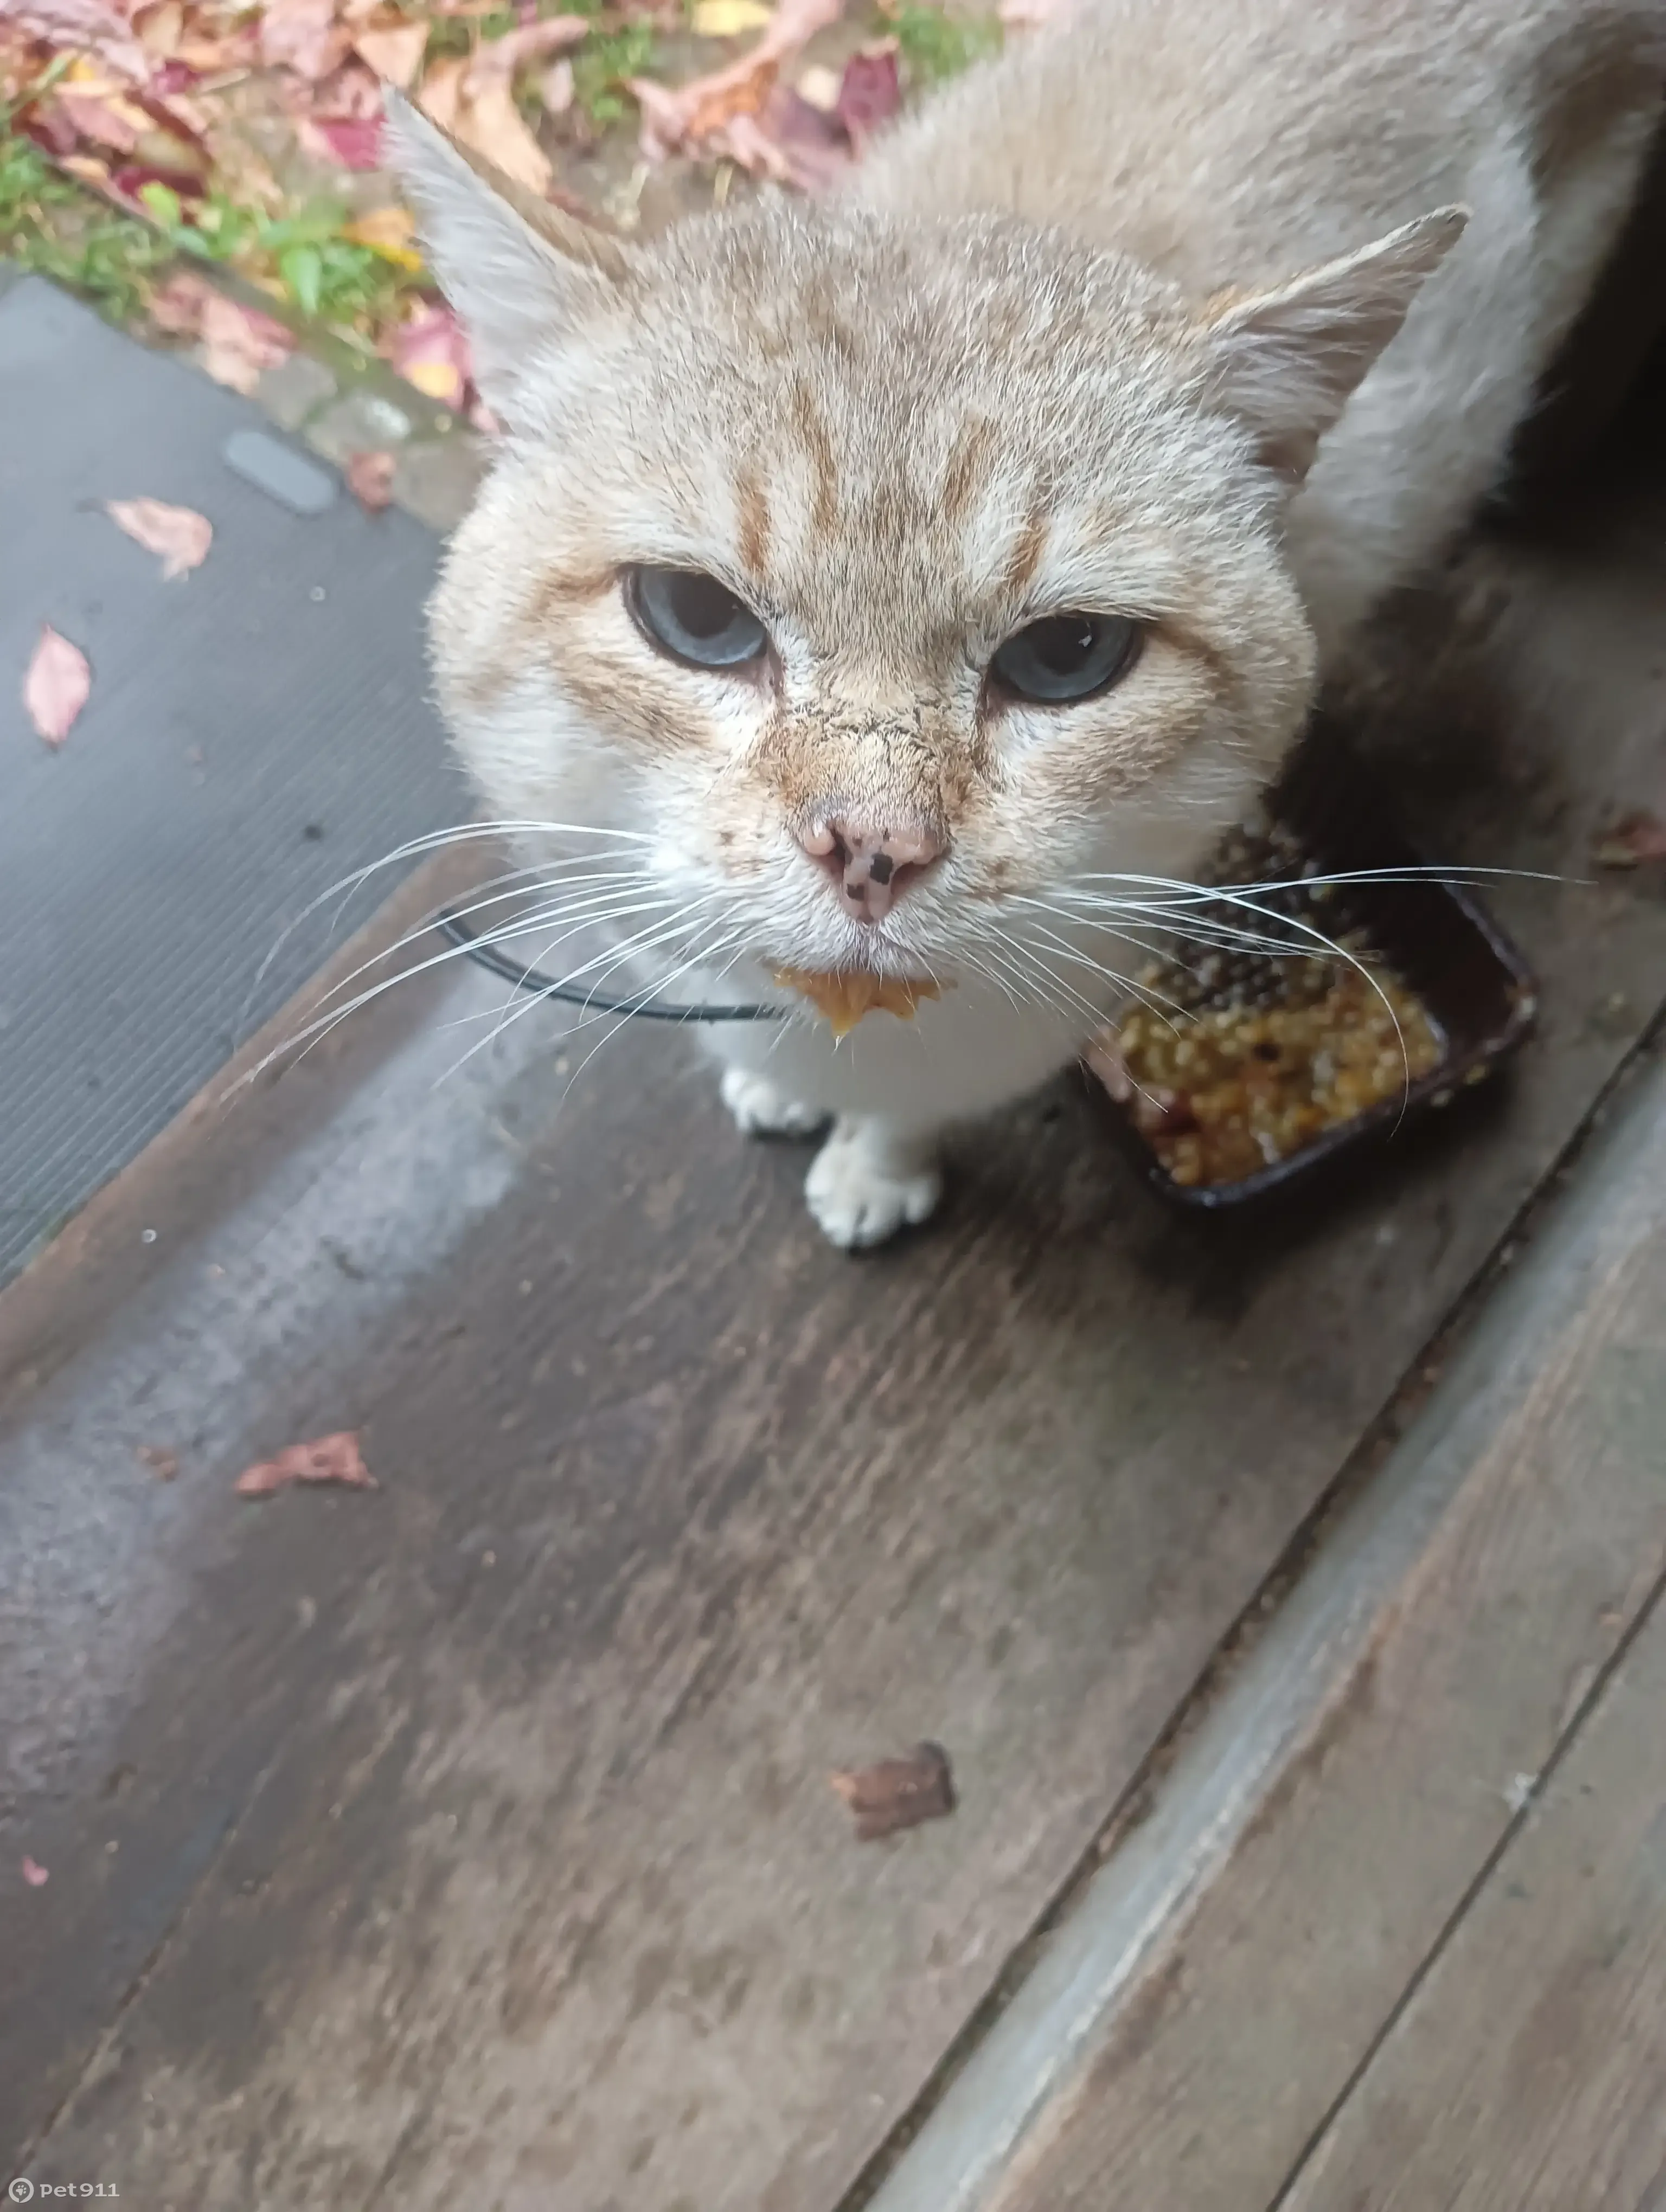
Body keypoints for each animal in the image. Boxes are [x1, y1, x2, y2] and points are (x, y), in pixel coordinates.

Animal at [382, 0, 1663, 1248]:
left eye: (1066, 657)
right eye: (694, 617)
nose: (873, 853)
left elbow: (904, 1113)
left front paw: (873, 1172)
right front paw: (778, 1091)